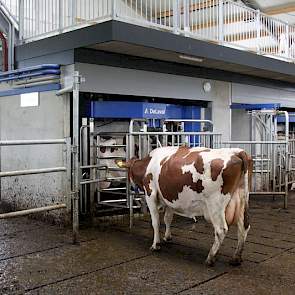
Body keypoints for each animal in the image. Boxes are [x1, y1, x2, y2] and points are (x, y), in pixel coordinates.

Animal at [117, 147, 253, 268]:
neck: (148, 164)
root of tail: (237, 152)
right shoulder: (169, 198)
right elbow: (168, 218)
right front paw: (167, 237)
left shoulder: (151, 194)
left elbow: (155, 222)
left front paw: (156, 245)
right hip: (241, 200)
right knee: (243, 227)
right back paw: (236, 258)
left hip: (215, 205)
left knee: (221, 230)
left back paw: (210, 258)